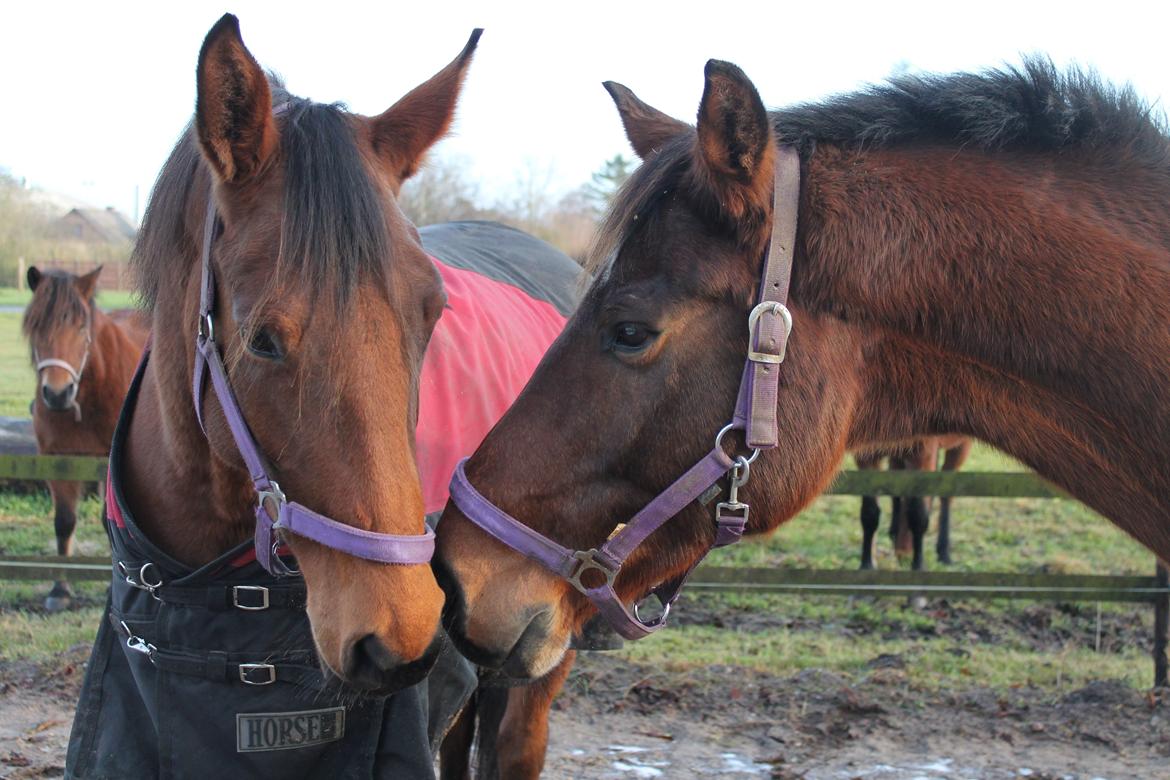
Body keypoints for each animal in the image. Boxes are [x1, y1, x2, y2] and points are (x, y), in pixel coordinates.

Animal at [22, 265, 147, 612]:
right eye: (35, 326)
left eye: (80, 328)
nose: (57, 393)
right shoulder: (56, 459)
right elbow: (64, 521)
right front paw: (59, 590)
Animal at [856, 437, 973, 570]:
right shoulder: (865, 456)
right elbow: (869, 514)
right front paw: (866, 565)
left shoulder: (923, 455)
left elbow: (918, 517)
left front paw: (918, 566)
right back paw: (898, 541)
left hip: (961, 444)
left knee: (945, 494)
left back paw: (943, 553)